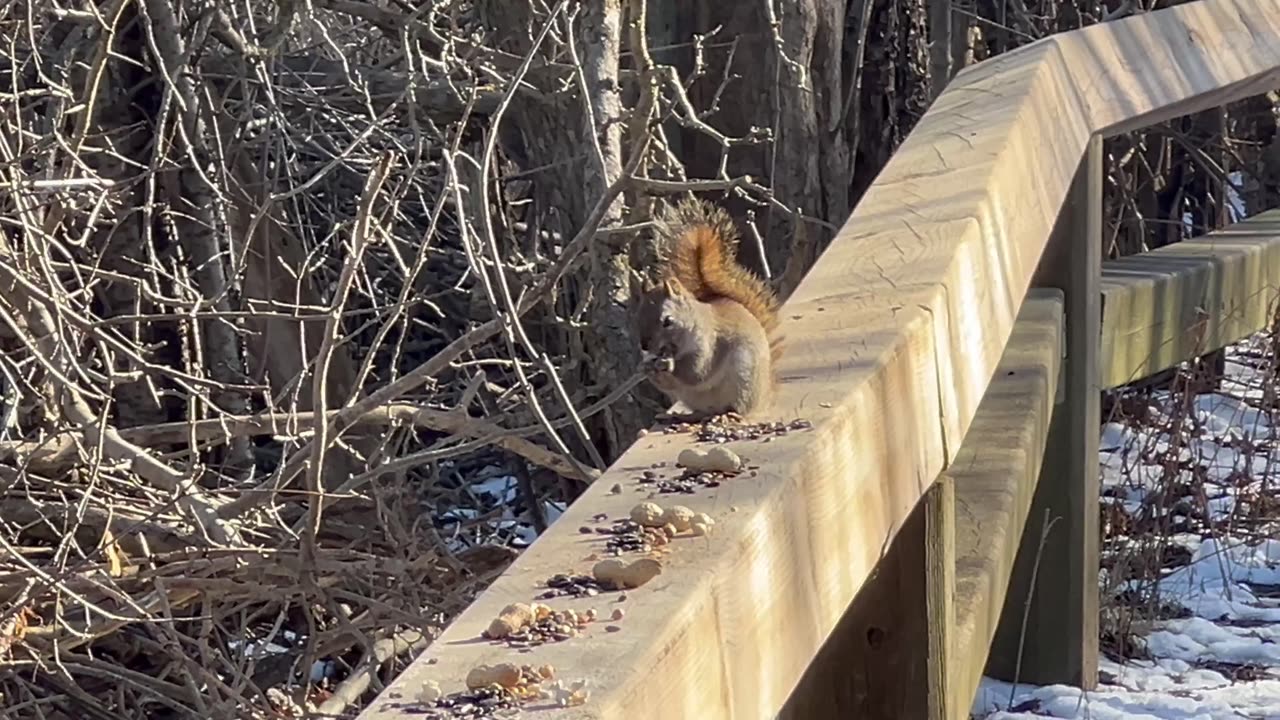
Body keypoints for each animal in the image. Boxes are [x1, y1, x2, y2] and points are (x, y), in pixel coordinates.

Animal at [634, 198, 783, 417]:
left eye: (667, 321)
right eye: (637, 317)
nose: (644, 345)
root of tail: (765, 396)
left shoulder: (709, 342)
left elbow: (696, 372)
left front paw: (668, 364)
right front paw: (645, 367)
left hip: (744, 379)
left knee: (739, 407)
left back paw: (730, 414)